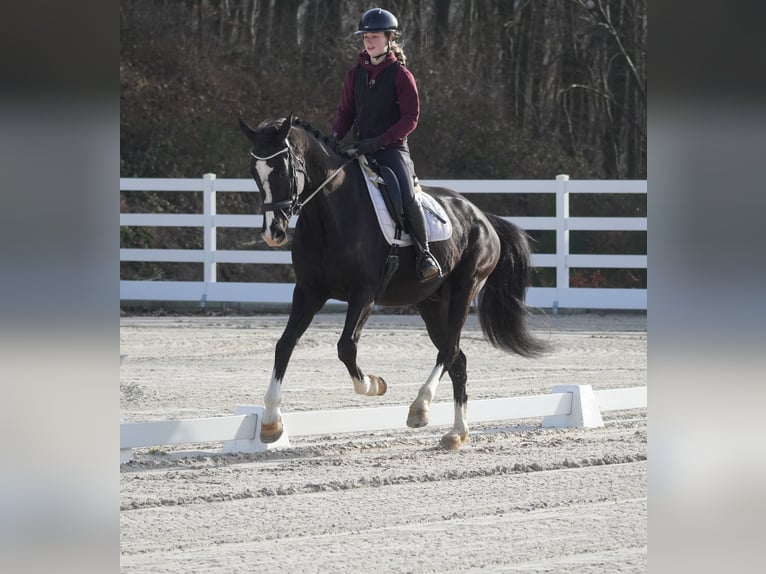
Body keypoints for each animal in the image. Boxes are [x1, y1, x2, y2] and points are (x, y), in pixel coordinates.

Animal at [238, 114, 548, 450]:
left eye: (284, 168)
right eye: (254, 172)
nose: (274, 232)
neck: (331, 214)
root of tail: (483, 217)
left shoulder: (365, 295)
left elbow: (346, 347)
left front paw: (375, 384)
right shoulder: (309, 292)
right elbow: (284, 345)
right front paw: (271, 423)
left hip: (465, 289)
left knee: (449, 351)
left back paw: (420, 409)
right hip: (431, 304)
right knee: (458, 359)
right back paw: (456, 432)